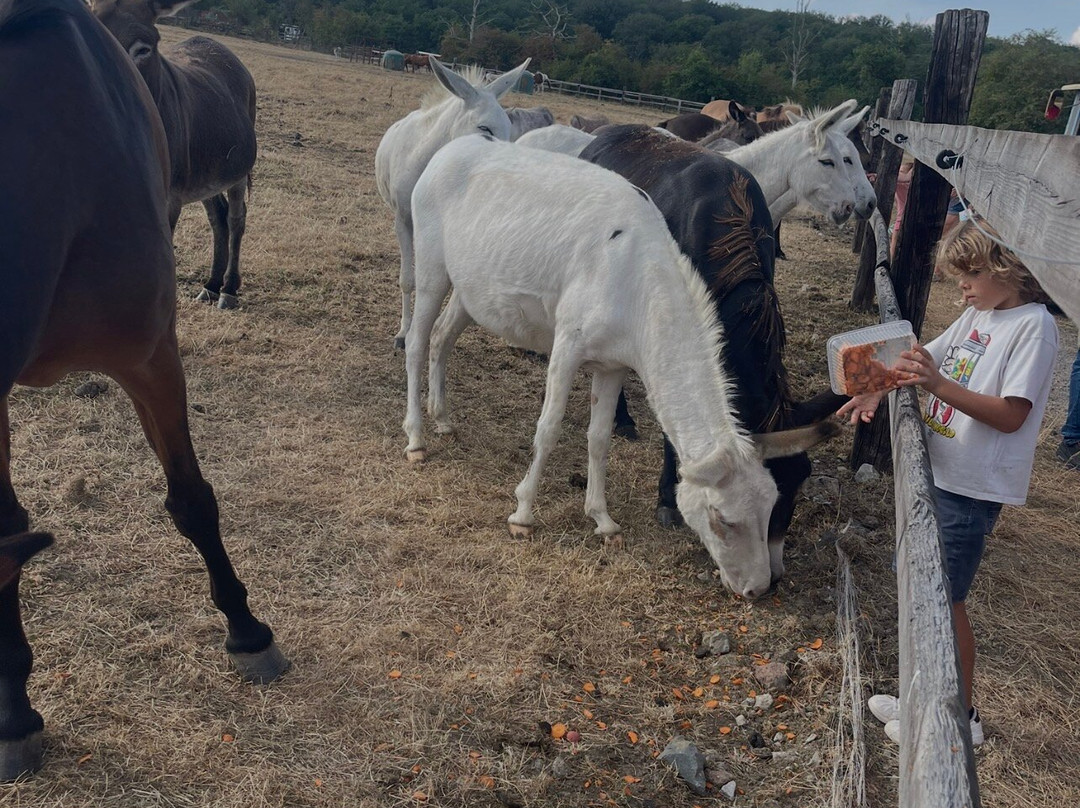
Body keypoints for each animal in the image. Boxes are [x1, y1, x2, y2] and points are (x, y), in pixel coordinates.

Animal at [91, 0, 256, 310]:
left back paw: (228, 289)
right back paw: (211, 285)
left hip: (236, 173)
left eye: (144, 49)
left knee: (235, 218)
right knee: (218, 217)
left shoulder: (168, 199)